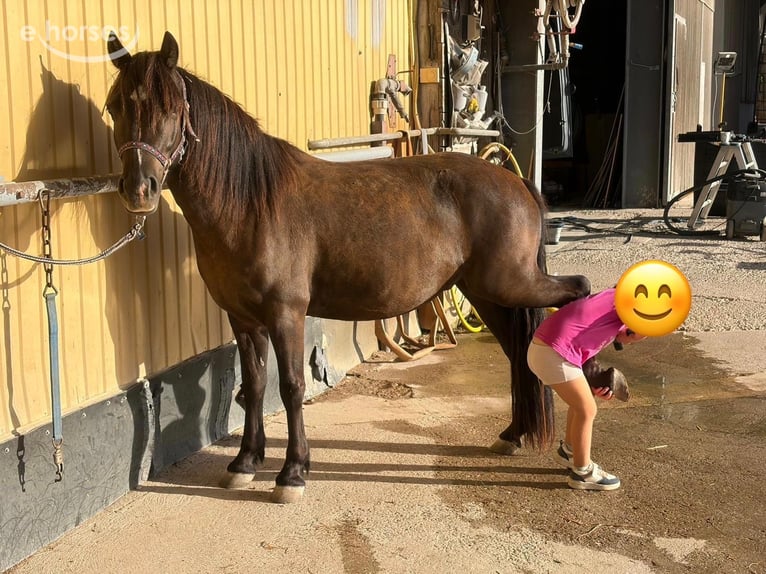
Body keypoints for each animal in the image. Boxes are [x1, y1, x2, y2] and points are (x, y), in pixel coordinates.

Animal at [105, 31, 590, 503]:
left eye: (171, 109)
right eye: (114, 106)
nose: (139, 190)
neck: (250, 203)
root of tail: (516, 182)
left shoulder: (286, 314)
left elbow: (292, 386)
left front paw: (292, 473)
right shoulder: (242, 318)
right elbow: (255, 386)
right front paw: (244, 464)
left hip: (514, 285)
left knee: (578, 291)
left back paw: (577, 449)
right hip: (486, 293)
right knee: (518, 350)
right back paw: (514, 435)